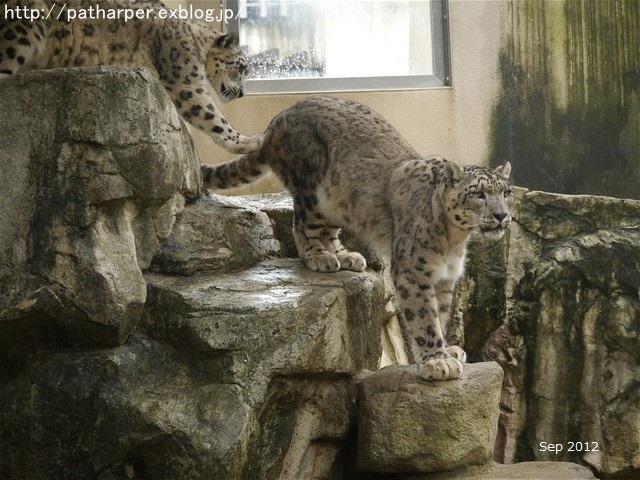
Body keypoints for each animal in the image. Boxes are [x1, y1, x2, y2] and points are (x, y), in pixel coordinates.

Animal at [0, 0, 264, 154]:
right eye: (242, 67)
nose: (242, 93)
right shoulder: (185, 82)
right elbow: (213, 116)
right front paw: (249, 141)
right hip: (23, 27)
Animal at [202, 96, 512, 382]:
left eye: (506, 192)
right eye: (478, 194)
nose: (501, 215)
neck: (454, 239)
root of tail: (278, 118)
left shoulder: (445, 277)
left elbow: (442, 315)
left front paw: (447, 351)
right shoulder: (414, 271)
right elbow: (424, 317)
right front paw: (437, 361)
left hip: (339, 204)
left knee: (326, 231)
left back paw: (346, 256)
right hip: (312, 190)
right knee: (301, 225)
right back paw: (320, 257)